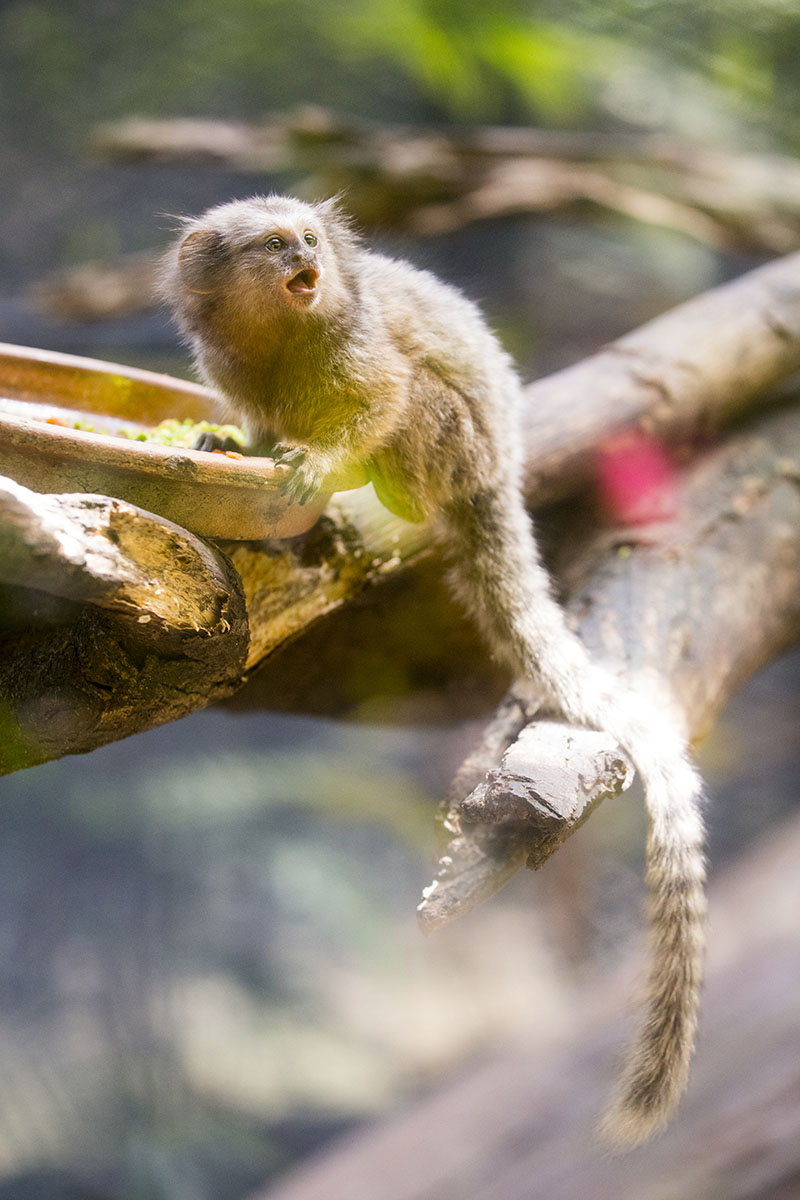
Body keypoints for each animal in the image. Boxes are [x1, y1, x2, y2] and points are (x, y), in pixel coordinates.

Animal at [163, 194, 705, 1142]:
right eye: (273, 245)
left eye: (308, 239)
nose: (304, 258)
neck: (282, 332)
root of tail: (497, 469)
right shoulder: (235, 363)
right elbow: (256, 423)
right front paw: (235, 440)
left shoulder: (357, 357)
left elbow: (379, 397)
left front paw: (316, 462)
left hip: (451, 446)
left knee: (414, 412)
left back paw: (389, 495)